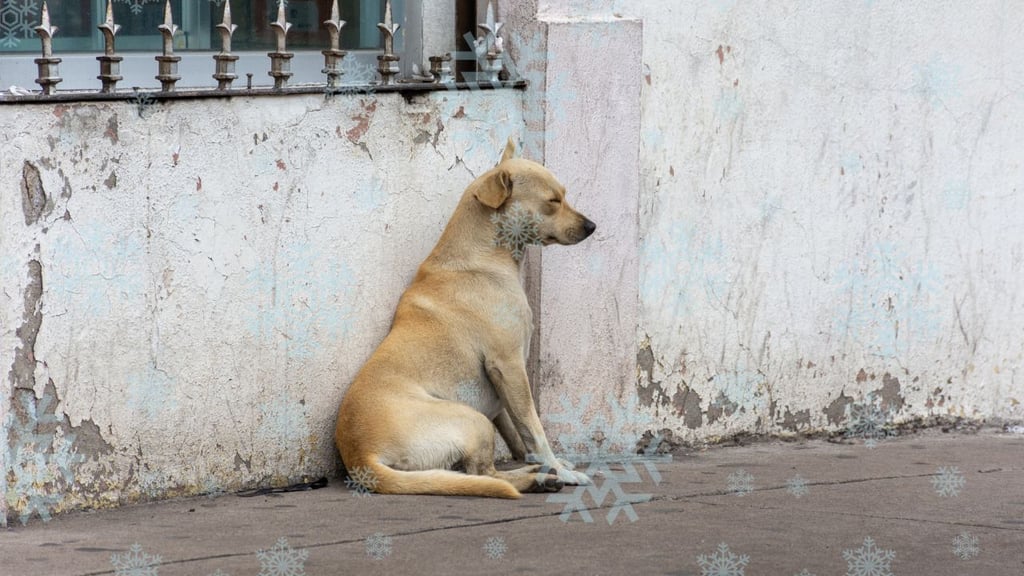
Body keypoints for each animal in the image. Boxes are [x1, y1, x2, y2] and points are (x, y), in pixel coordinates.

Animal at [331, 136, 598, 496]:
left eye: (564, 195)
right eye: (553, 201)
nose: (592, 227)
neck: (485, 256)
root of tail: (362, 458)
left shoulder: (503, 387)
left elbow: (517, 430)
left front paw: (550, 463)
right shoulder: (509, 365)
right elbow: (534, 427)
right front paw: (557, 467)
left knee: (481, 473)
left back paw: (538, 475)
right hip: (472, 419)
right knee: (485, 473)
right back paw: (539, 478)